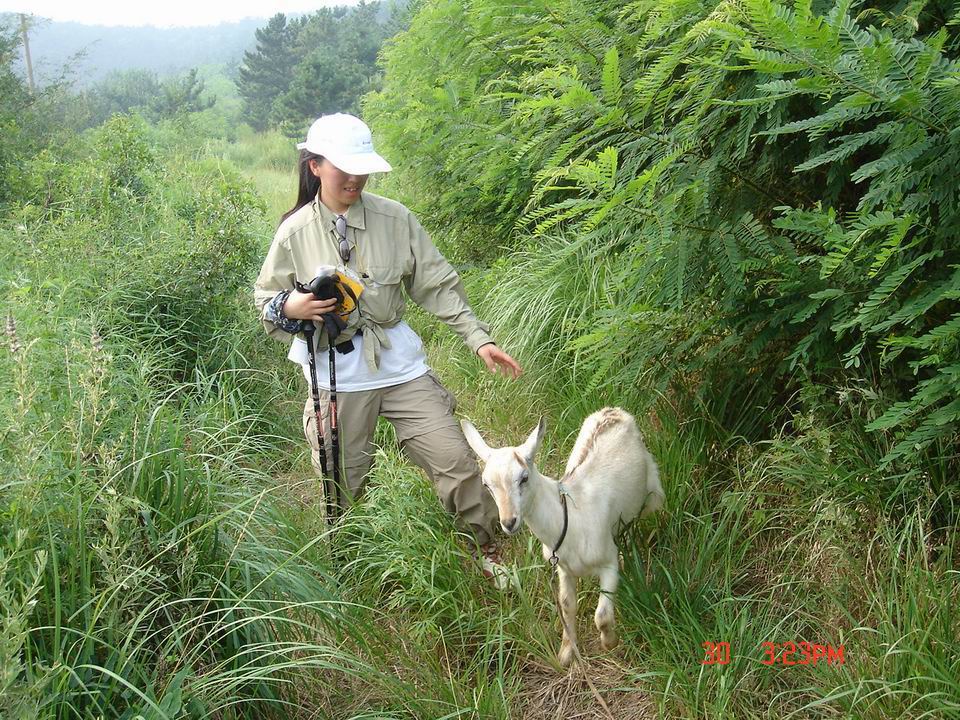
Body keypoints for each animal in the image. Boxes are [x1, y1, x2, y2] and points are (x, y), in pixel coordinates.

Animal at [461, 407, 664, 666]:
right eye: (486, 485)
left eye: (524, 477)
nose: (509, 522)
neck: (569, 519)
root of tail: (613, 411)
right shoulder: (563, 569)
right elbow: (567, 606)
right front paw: (567, 653)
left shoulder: (607, 562)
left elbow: (602, 615)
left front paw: (610, 643)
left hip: (651, 490)